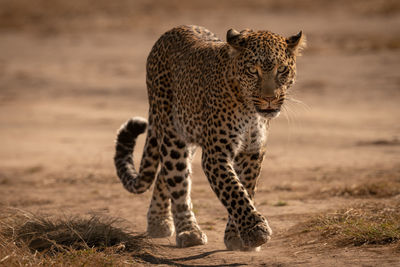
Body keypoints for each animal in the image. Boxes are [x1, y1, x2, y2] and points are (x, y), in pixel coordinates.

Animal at [114, 25, 304, 251]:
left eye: (282, 70)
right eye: (252, 70)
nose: (269, 99)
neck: (250, 109)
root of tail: (172, 30)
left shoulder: (253, 152)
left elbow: (246, 188)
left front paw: (237, 236)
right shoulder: (216, 154)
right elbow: (233, 190)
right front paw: (255, 231)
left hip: (189, 135)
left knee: (164, 173)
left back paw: (158, 221)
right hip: (172, 133)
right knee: (177, 181)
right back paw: (188, 231)